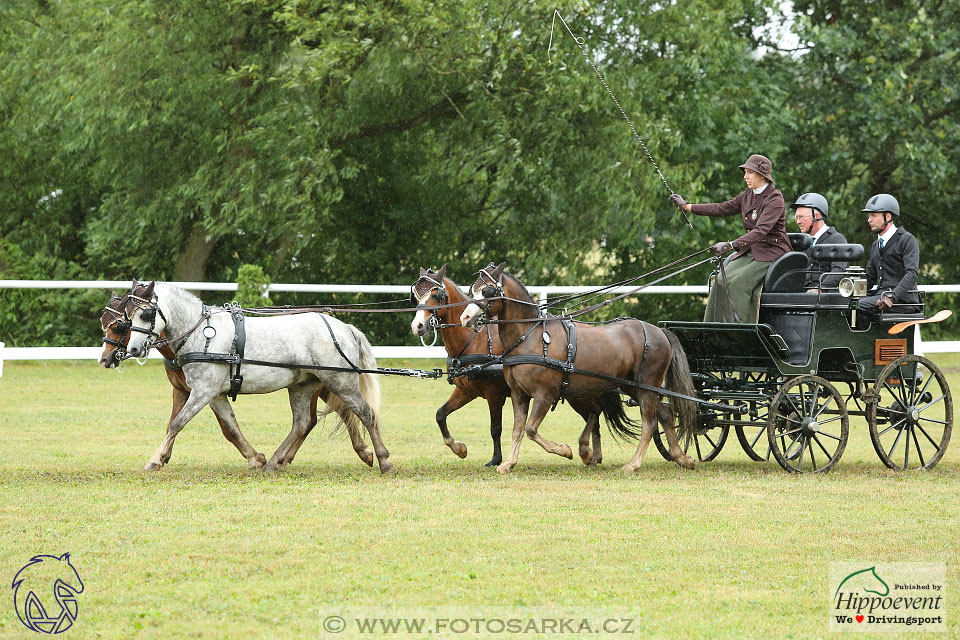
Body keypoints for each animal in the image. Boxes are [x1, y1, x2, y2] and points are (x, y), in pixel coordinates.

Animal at [105, 282, 390, 472]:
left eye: (145, 314)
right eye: (127, 318)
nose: (132, 350)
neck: (200, 334)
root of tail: (343, 327)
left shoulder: (203, 391)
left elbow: (177, 423)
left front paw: (155, 460)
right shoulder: (214, 394)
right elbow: (230, 427)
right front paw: (256, 459)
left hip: (340, 382)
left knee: (366, 414)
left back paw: (383, 460)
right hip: (304, 386)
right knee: (302, 423)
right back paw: (274, 462)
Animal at [460, 262, 696, 472]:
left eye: (487, 290)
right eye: (473, 289)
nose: (465, 317)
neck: (531, 336)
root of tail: (659, 331)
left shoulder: (545, 394)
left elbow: (531, 429)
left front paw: (565, 450)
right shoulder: (519, 394)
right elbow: (518, 430)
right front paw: (508, 463)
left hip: (647, 386)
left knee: (649, 422)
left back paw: (634, 464)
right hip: (633, 386)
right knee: (665, 414)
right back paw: (681, 458)